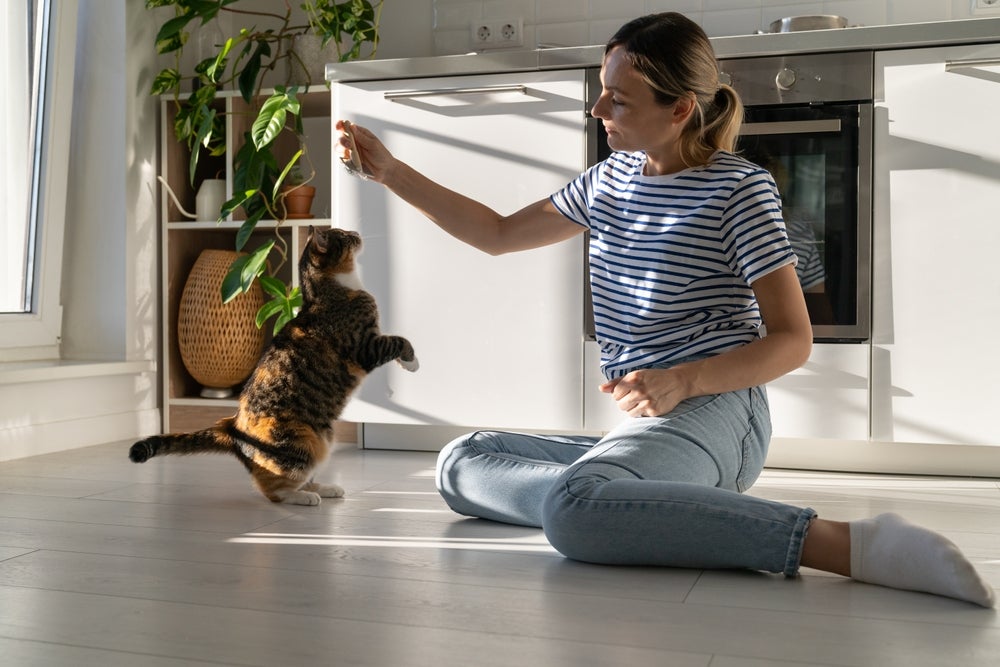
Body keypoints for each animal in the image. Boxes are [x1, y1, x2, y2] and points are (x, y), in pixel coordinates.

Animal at [129, 228, 418, 506]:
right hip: (301, 443)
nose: (356, 233)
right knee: (273, 489)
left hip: (322, 439)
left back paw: (326, 488)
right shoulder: (364, 346)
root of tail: (232, 427)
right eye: (344, 235)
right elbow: (399, 339)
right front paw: (412, 361)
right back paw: (304, 497)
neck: (330, 292)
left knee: (302, 478)